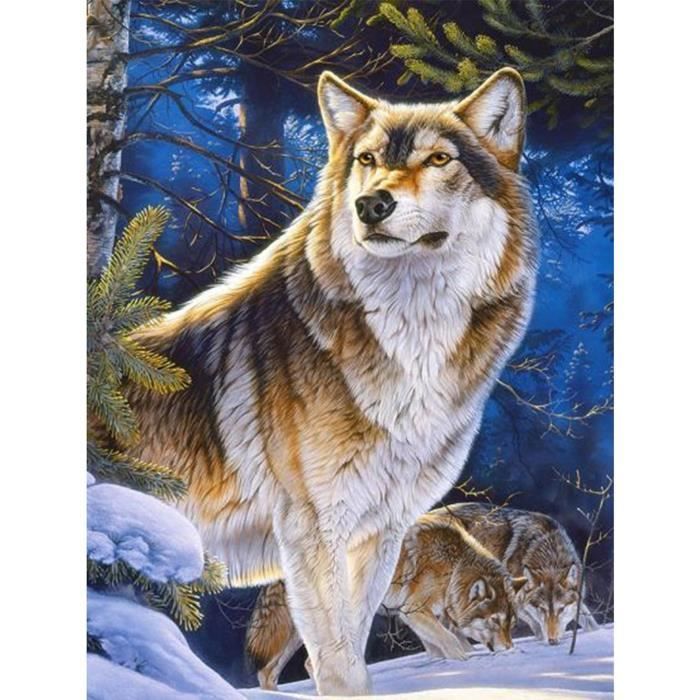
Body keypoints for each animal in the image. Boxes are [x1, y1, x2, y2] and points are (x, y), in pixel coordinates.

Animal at [246, 514, 524, 691]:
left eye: (511, 624)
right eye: (494, 620)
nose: (509, 649)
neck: (453, 567)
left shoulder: (422, 617)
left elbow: (444, 645)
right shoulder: (414, 611)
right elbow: (451, 643)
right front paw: (463, 664)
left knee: (268, 672)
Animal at [434, 502, 599, 644]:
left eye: (561, 609)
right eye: (542, 609)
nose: (552, 641)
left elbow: (590, 622)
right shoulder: (516, 602)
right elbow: (536, 625)